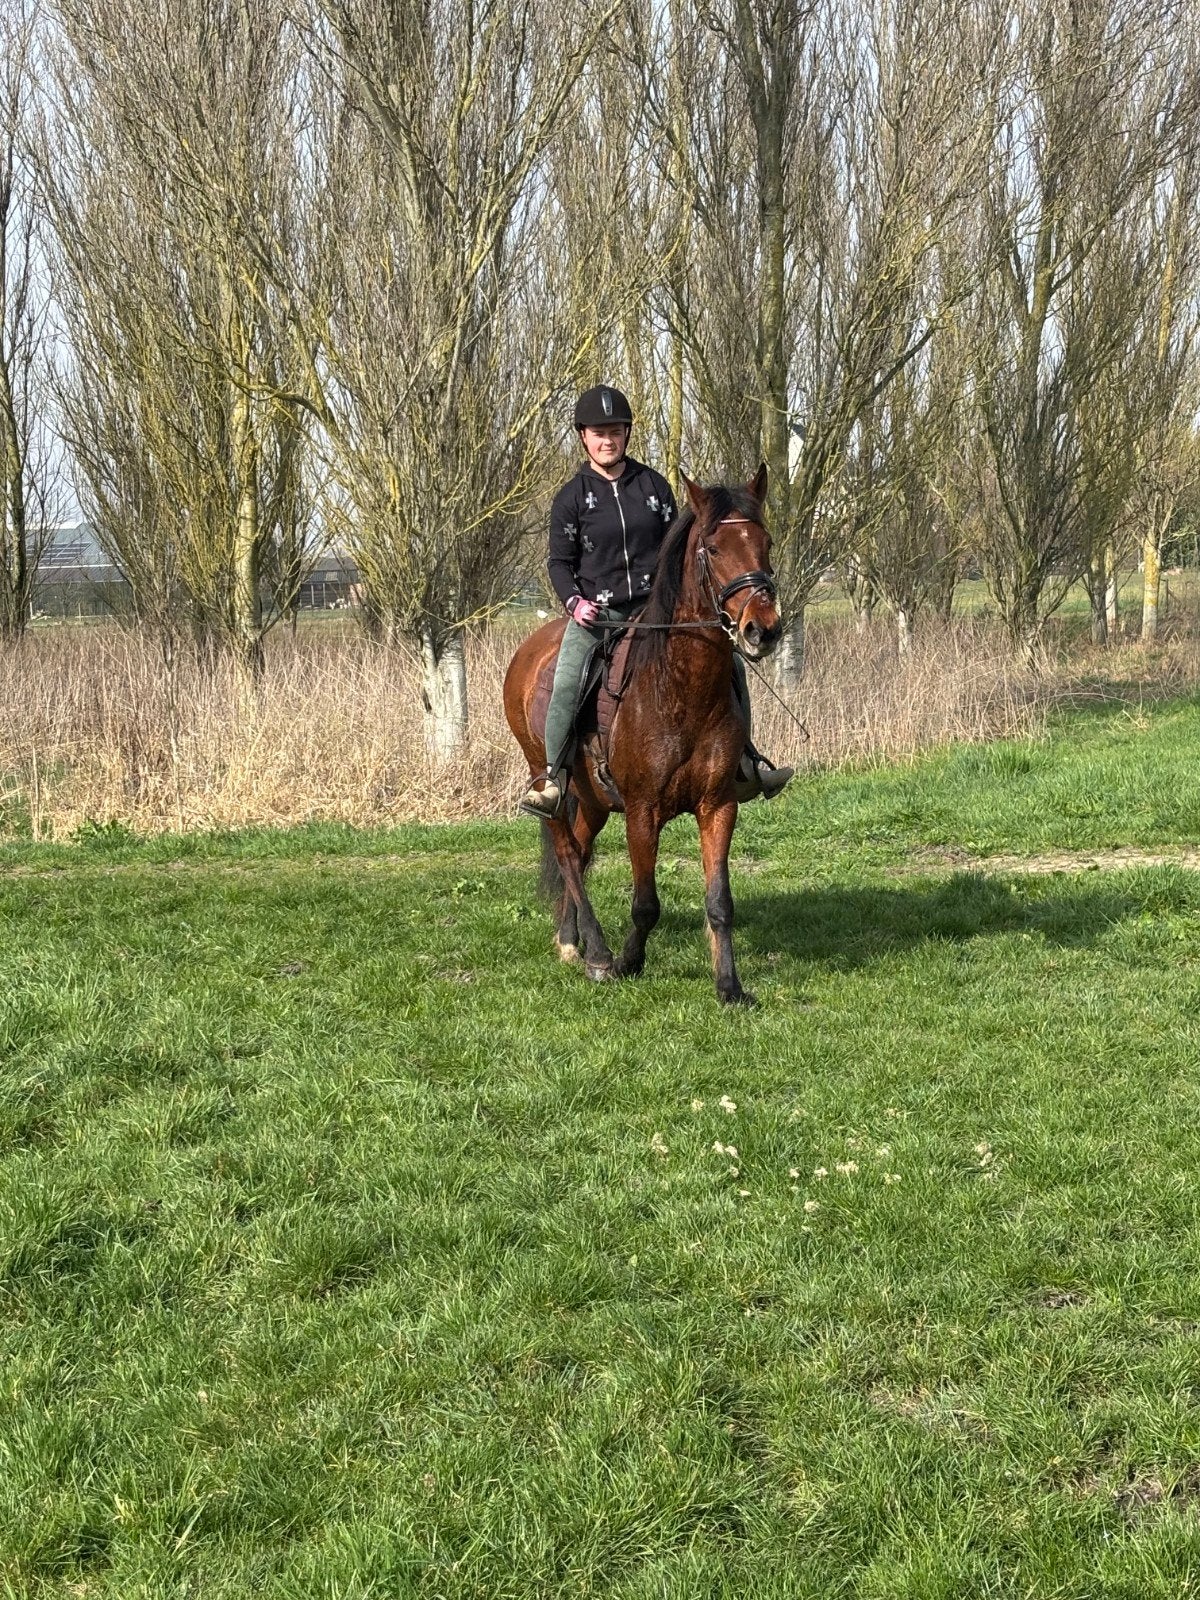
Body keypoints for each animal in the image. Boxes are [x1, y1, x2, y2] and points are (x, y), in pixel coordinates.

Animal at [503, 466, 783, 1005]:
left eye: (766, 542)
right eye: (713, 548)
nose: (763, 630)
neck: (678, 687)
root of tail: (529, 650)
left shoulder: (718, 805)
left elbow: (720, 902)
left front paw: (730, 987)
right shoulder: (642, 810)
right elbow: (646, 903)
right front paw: (629, 962)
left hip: (592, 796)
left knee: (581, 850)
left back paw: (569, 940)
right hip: (546, 778)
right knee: (567, 853)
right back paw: (596, 953)